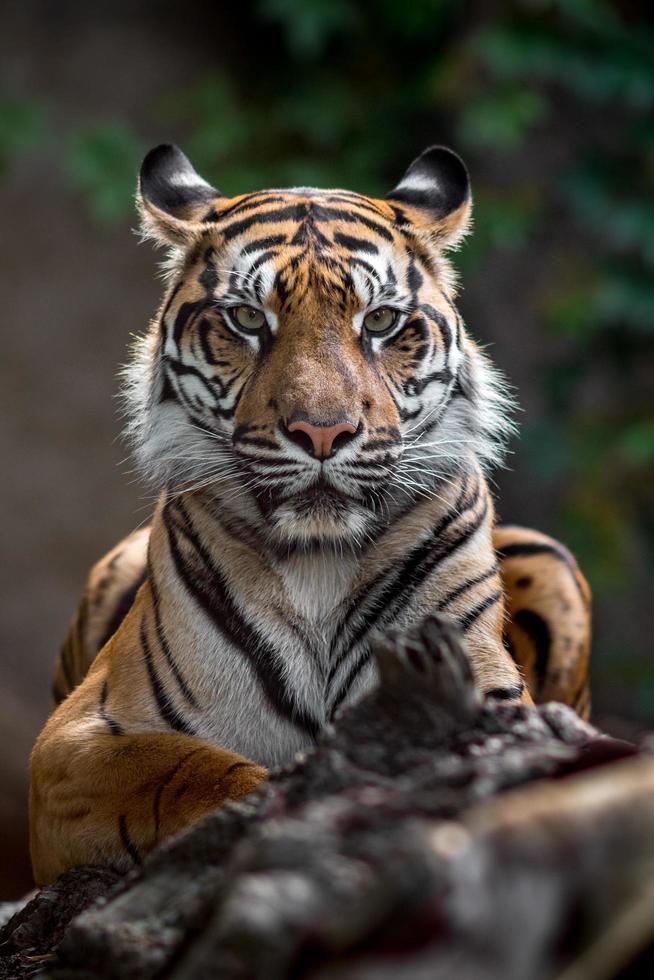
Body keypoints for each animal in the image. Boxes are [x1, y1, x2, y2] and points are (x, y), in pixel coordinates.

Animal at [30, 142, 596, 884]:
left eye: (380, 321)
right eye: (247, 318)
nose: (323, 432)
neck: (319, 562)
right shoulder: (76, 739)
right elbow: (191, 769)